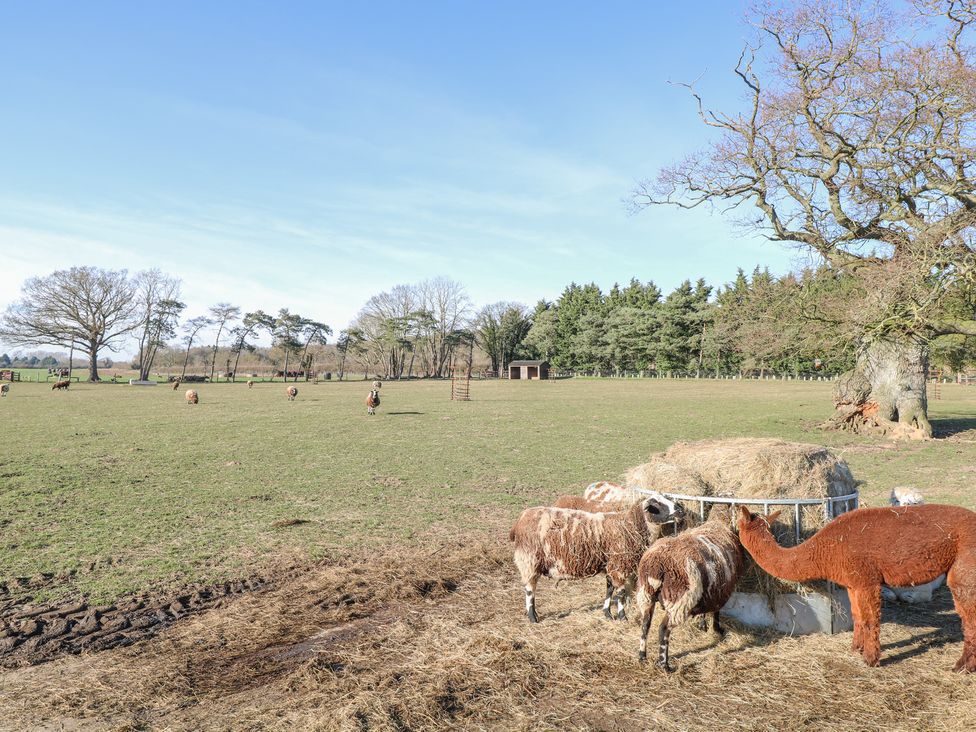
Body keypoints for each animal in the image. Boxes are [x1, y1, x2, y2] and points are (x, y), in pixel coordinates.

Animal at [510, 492, 688, 624]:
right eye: (656, 505)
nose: (681, 511)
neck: (630, 526)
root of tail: (521, 518)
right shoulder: (618, 565)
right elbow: (621, 592)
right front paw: (622, 617)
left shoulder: (610, 565)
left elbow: (609, 589)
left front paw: (607, 613)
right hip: (529, 559)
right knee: (529, 590)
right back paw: (533, 617)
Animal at [636, 506, 744, 672]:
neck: (719, 523)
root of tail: (656, 567)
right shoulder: (720, 591)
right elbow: (716, 612)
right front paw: (717, 629)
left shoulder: (708, 591)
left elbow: (706, 610)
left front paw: (703, 625)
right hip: (679, 600)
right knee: (663, 629)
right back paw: (665, 665)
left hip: (646, 595)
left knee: (645, 624)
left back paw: (642, 656)